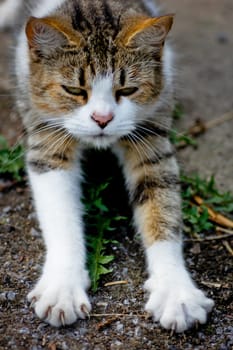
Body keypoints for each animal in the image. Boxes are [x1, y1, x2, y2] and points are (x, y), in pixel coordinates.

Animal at [0, 0, 215, 330]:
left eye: (127, 90)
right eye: (74, 90)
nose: (102, 119)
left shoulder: (151, 137)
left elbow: (162, 209)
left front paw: (176, 292)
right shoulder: (47, 138)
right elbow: (61, 214)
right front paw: (63, 288)